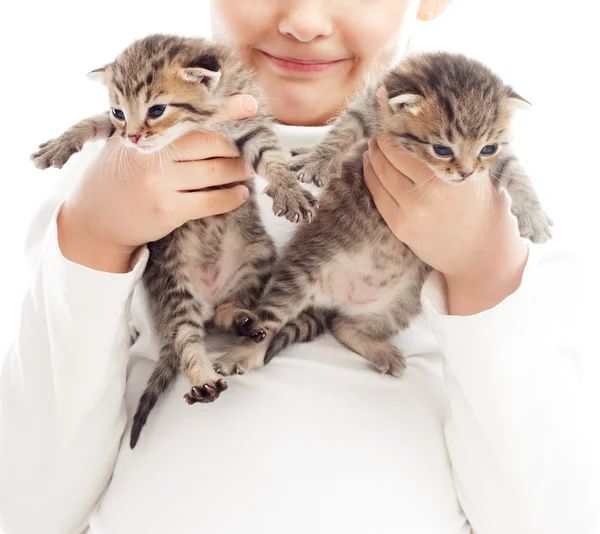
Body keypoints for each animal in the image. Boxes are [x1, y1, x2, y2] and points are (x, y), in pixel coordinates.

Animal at [30, 35, 318, 450]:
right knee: (186, 336)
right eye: (119, 111)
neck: (196, 123)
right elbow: (94, 122)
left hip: (258, 254)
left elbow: (272, 156)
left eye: (157, 110)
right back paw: (203, 379)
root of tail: (208, 297)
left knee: (223, 314)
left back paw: (241, 319)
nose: (134, 137)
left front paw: (289, 190)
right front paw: (61, 142)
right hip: (172, 282)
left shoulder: (251, 123)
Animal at [211, 50, 552, 376]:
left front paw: (534, 215)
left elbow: (516, 170)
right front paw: (317, 158)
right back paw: (242, 354)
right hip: (299, 273)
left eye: (488, 148)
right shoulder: (370, 103)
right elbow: (345, 129)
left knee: (343, 326)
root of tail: (333, 301)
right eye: (442, 149)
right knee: (268, 324)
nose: (466, 174)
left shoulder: (498, 160)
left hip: (399, 304)